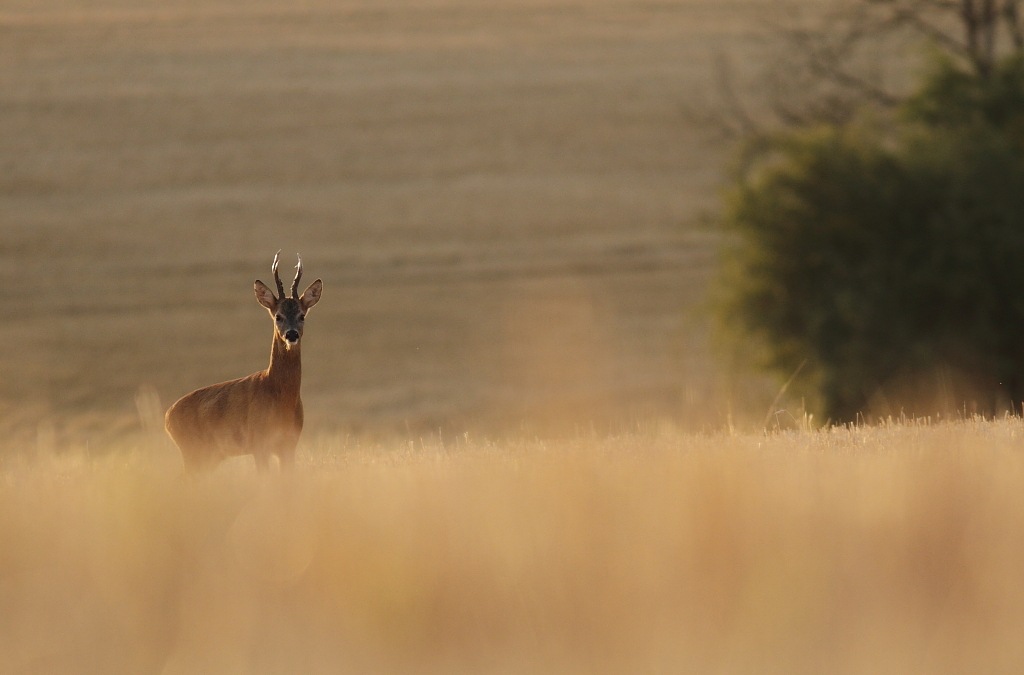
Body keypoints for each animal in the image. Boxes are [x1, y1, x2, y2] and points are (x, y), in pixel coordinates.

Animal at [165, 250, 321, 473]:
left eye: (302, 315)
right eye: (278, 316)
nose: (291, 334)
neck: (280, 398)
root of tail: (167, 417)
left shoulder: (289, 444)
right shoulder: (258, 442)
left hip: (210, 456)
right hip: (192, 450)